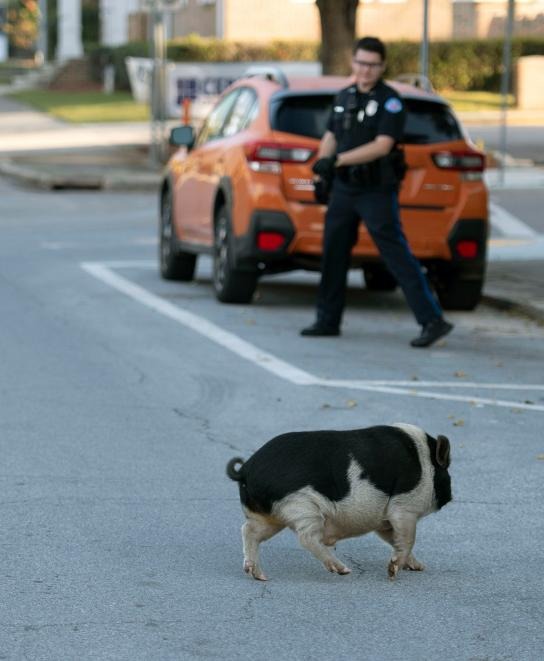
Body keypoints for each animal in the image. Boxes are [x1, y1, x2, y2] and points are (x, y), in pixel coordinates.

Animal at [225, 422, 450, 576]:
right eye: (446, 471)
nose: (450, 496)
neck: (425, 462)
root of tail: (245, 469)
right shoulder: (403, 506)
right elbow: (408, 538)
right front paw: (394, 570)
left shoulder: (384, 520)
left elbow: (395, 539)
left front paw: (419, 567)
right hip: (303, 506)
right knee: (307, 538)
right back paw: (343, 570)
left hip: (269, 515)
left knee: (249, 531)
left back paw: (258, 575)